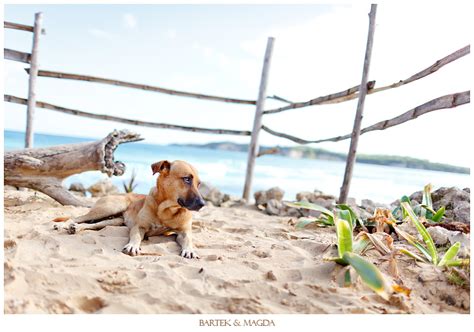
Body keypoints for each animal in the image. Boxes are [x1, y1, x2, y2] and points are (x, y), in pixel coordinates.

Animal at [55, 161, 204, 260]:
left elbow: (188, 239)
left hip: (113, 221)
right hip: (109, 208)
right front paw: (133, 246)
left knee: (93, 225)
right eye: (187, 179)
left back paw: (76, 228)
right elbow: (136, 236)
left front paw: (190, 250)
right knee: (77, 217)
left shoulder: (184, 232)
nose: (202, 204)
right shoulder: (139, 227)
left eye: (198, 184)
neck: (166, 210)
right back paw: (63, 225)